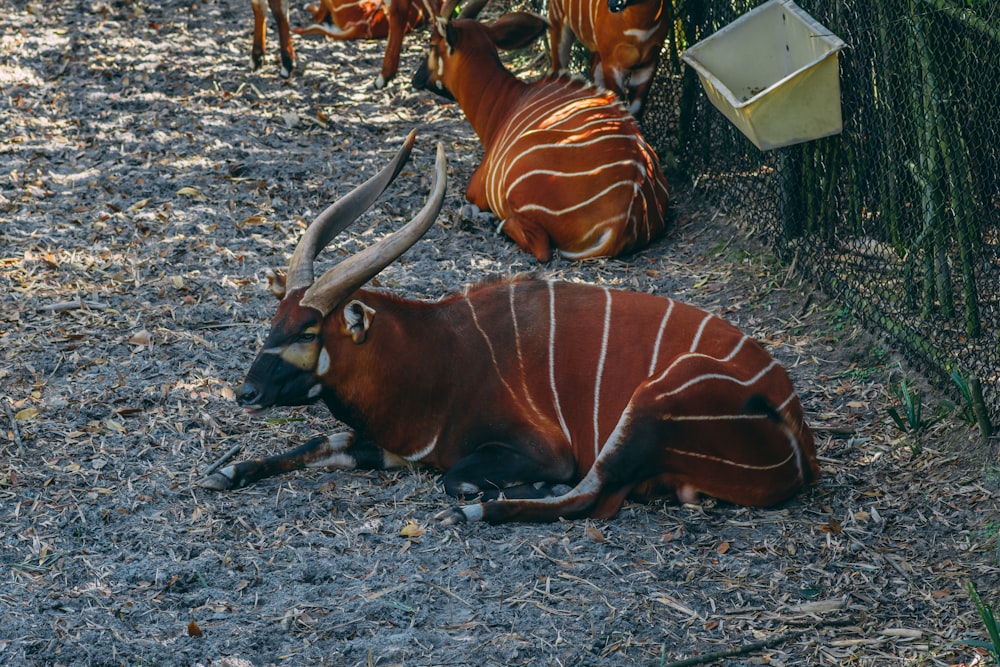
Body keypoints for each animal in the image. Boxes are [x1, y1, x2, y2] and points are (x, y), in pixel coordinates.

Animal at [201, 132, 820, 528]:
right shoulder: (392, 447)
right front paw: (225, 471)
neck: (439, 353)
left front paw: (504, 490)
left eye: (309, 331)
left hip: (649, 405)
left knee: (587, 498)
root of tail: (802, 446)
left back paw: (483, 508)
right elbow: (320, 441)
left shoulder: (538, 450)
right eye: (275, 320)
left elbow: (458, 476)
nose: (246, 392)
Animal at [252, 0, 428, 86]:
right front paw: (257, 57)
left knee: (399, 10)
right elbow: (258, 6)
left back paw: (384, 77)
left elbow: (278, 10)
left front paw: (287, 65)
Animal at [410, 3, 668, 262]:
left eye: (432, 44)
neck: (507, 100)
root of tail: (619, 226)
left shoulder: (477, 189)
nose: (415, 78)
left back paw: (498, 222)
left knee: (541, 246)